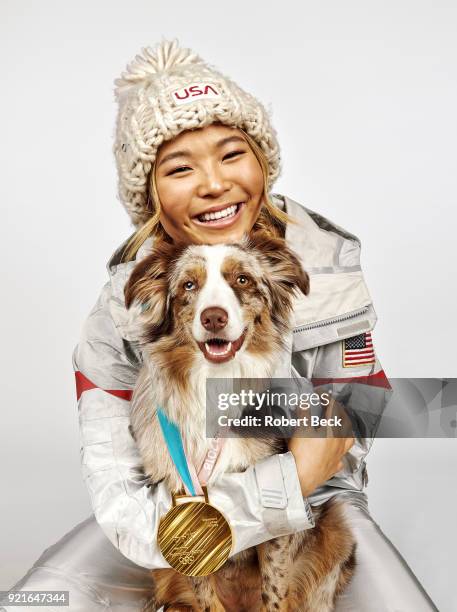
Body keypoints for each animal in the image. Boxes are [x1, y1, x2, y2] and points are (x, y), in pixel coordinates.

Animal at [124, 231, 356, 612]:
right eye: (189, 285)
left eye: (243, 280)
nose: (213, 318)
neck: (214, 384)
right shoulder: (179, 511)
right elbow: (203, 593)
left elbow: (274, 589)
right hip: (158, 566)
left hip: (336, 528)